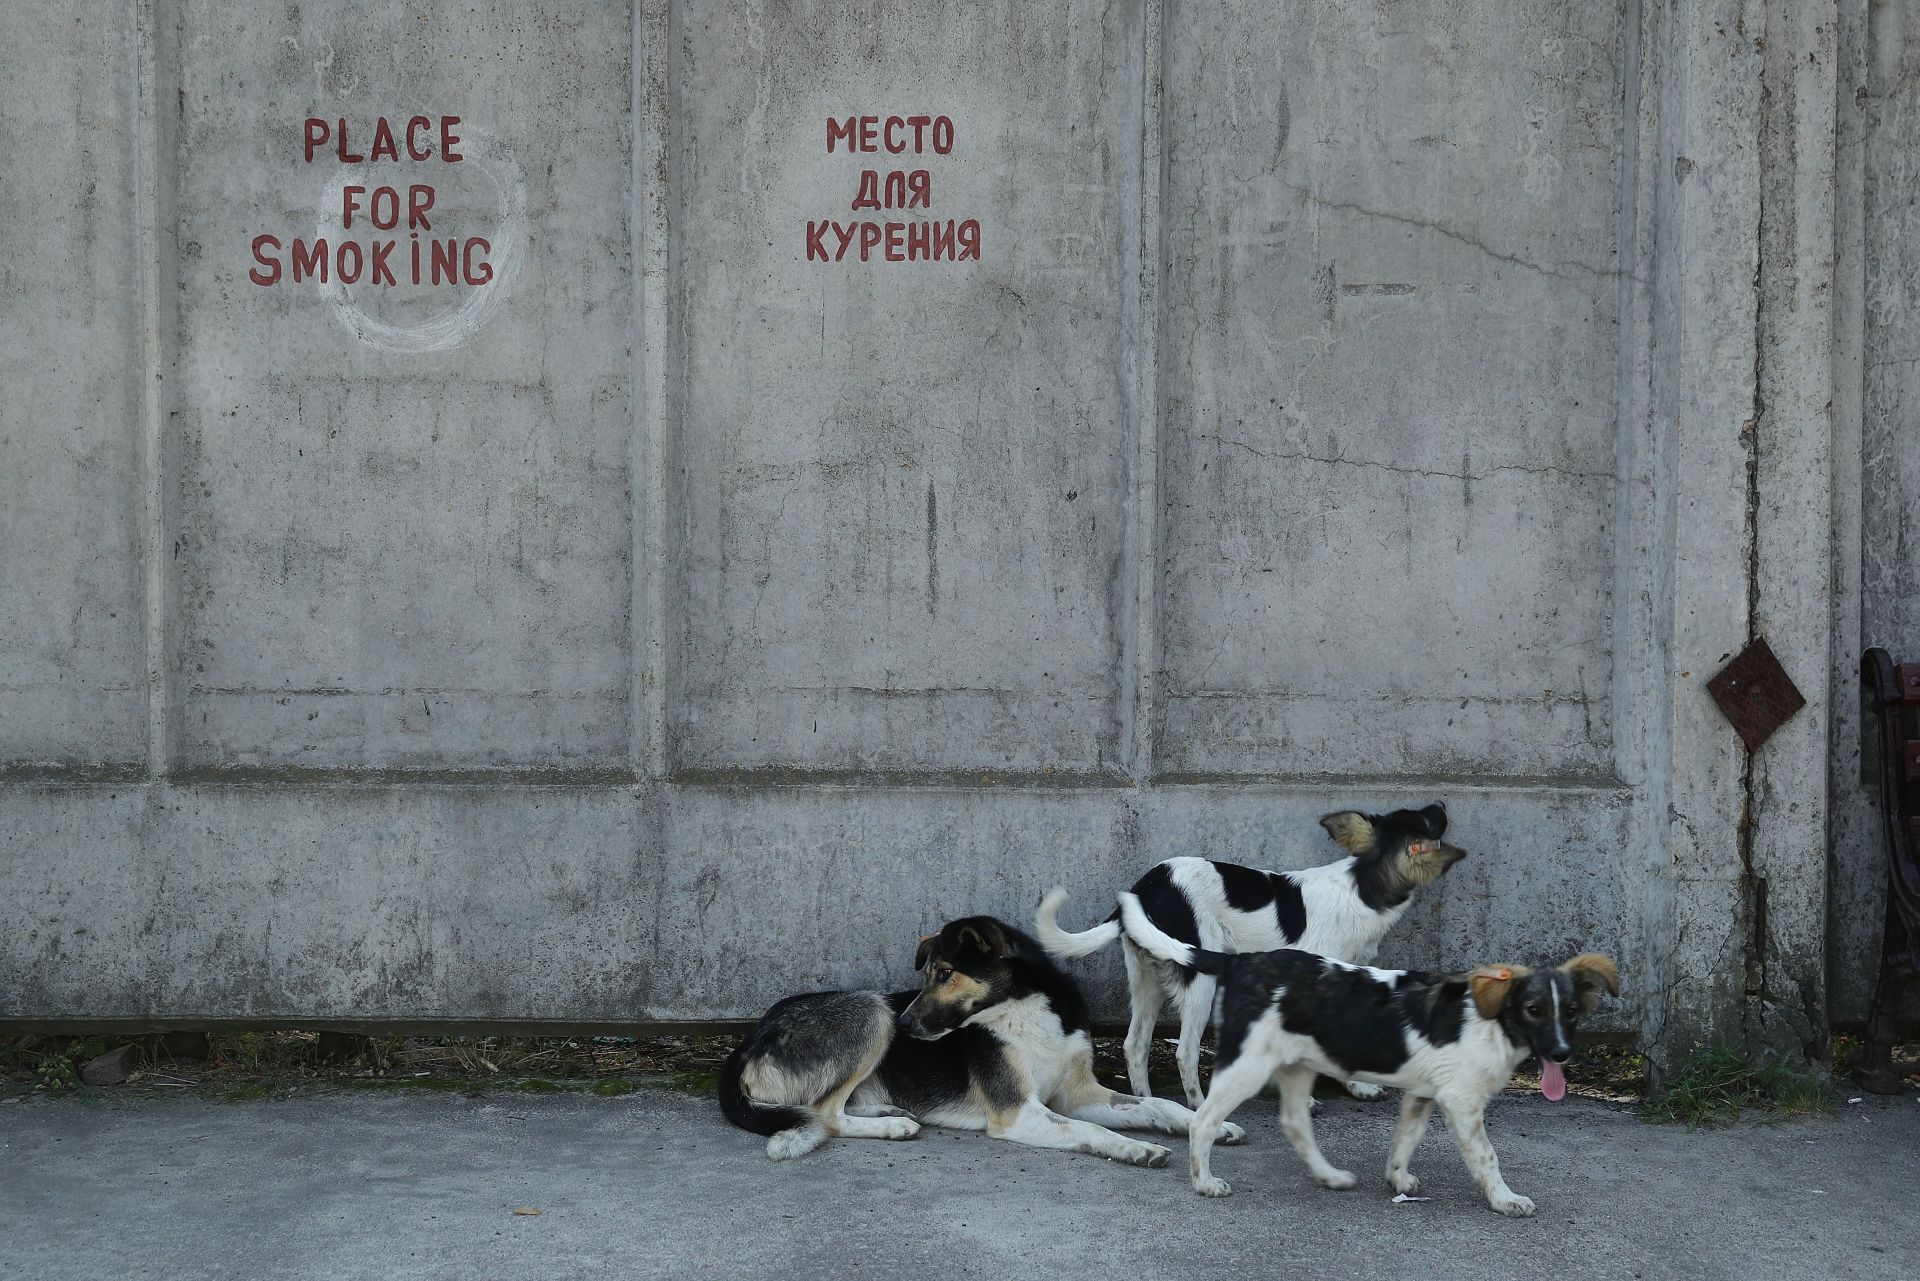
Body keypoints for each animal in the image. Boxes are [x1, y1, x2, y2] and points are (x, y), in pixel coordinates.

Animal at [718, 918, 1244, 1167]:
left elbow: (1158, 1106)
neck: (1023, 1007)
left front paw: (1211, 1124)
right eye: (927, 974)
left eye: (945, 974)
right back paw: (892, 1126)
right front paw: (1136, 1149)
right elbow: (1090, 1131)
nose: (908, 1024)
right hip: (872, 1010)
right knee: (823, 1115)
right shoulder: (1018, 1111)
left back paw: (889, 1109)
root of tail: (746, 1042)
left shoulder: (1077, 1093)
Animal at [1036, 806, 1466, 1106]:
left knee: (1135, 1044)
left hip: (1147, 979)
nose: (1443, 803)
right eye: (1428, 821)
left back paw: (1146, 1101)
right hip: (1199, 978)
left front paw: (1355, 1086)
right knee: (1186, 1052)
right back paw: (1200, 1107)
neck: (1362, 885)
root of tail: (1146, 887)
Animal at [1113, 898, 1620, 1221]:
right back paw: (1205, 1181)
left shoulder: (1421, 1094)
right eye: (1533, 1010)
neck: (1491, 1020)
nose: (1562, 1053)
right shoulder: (1461, 1101)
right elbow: (1487, 1156)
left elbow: (1404, 1142)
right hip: (1247, 1065)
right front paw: (1505, 1200)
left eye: (1570, 1012)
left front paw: (1398, 1180)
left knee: (1295, 1124)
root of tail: (1244, 961)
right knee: (1203, 1121)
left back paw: (1329, 1176)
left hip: (1296, 1065)